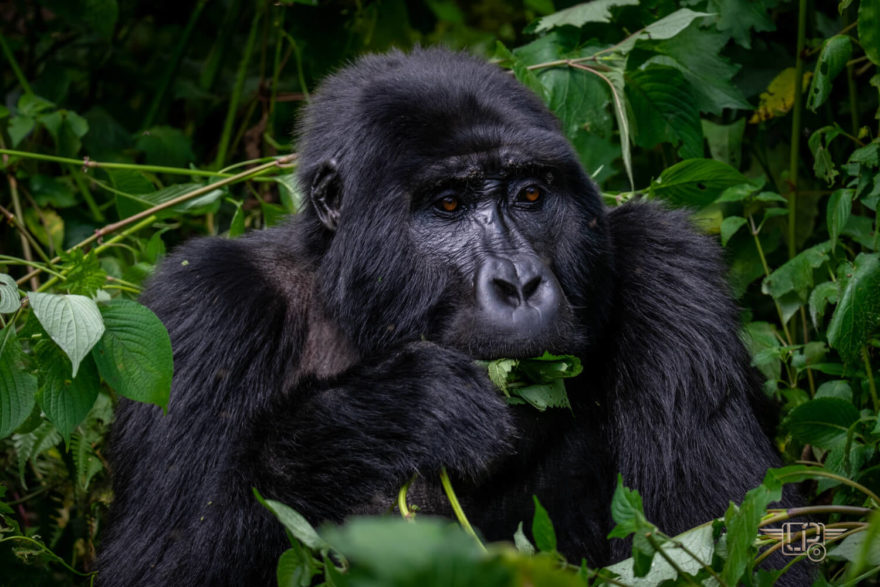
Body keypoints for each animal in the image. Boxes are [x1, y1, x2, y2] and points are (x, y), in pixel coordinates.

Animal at [98, 48, 796, 584]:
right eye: (450, 204)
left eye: (531, 194)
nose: (519, 283)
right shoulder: (205, 306)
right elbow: (176, 556)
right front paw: (395, 411)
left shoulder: (668, 266)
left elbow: (725, 545)